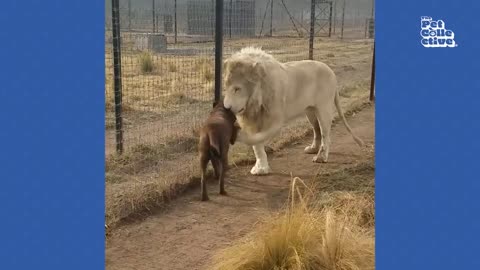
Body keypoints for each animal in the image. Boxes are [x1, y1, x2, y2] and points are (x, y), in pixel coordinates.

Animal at [225, 47, 364, 176]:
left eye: (237, 89)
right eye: (226, 88)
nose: (226, 108)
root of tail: (332, 72)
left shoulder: (275, 118)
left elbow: (258, 137)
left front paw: (241, 135)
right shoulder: (254, 119)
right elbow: (257, 145)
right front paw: (260, 168)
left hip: (323, 108)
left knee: (325, 133)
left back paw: (321, 157)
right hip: (310, 111)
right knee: (317, 129)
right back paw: (313, 149)